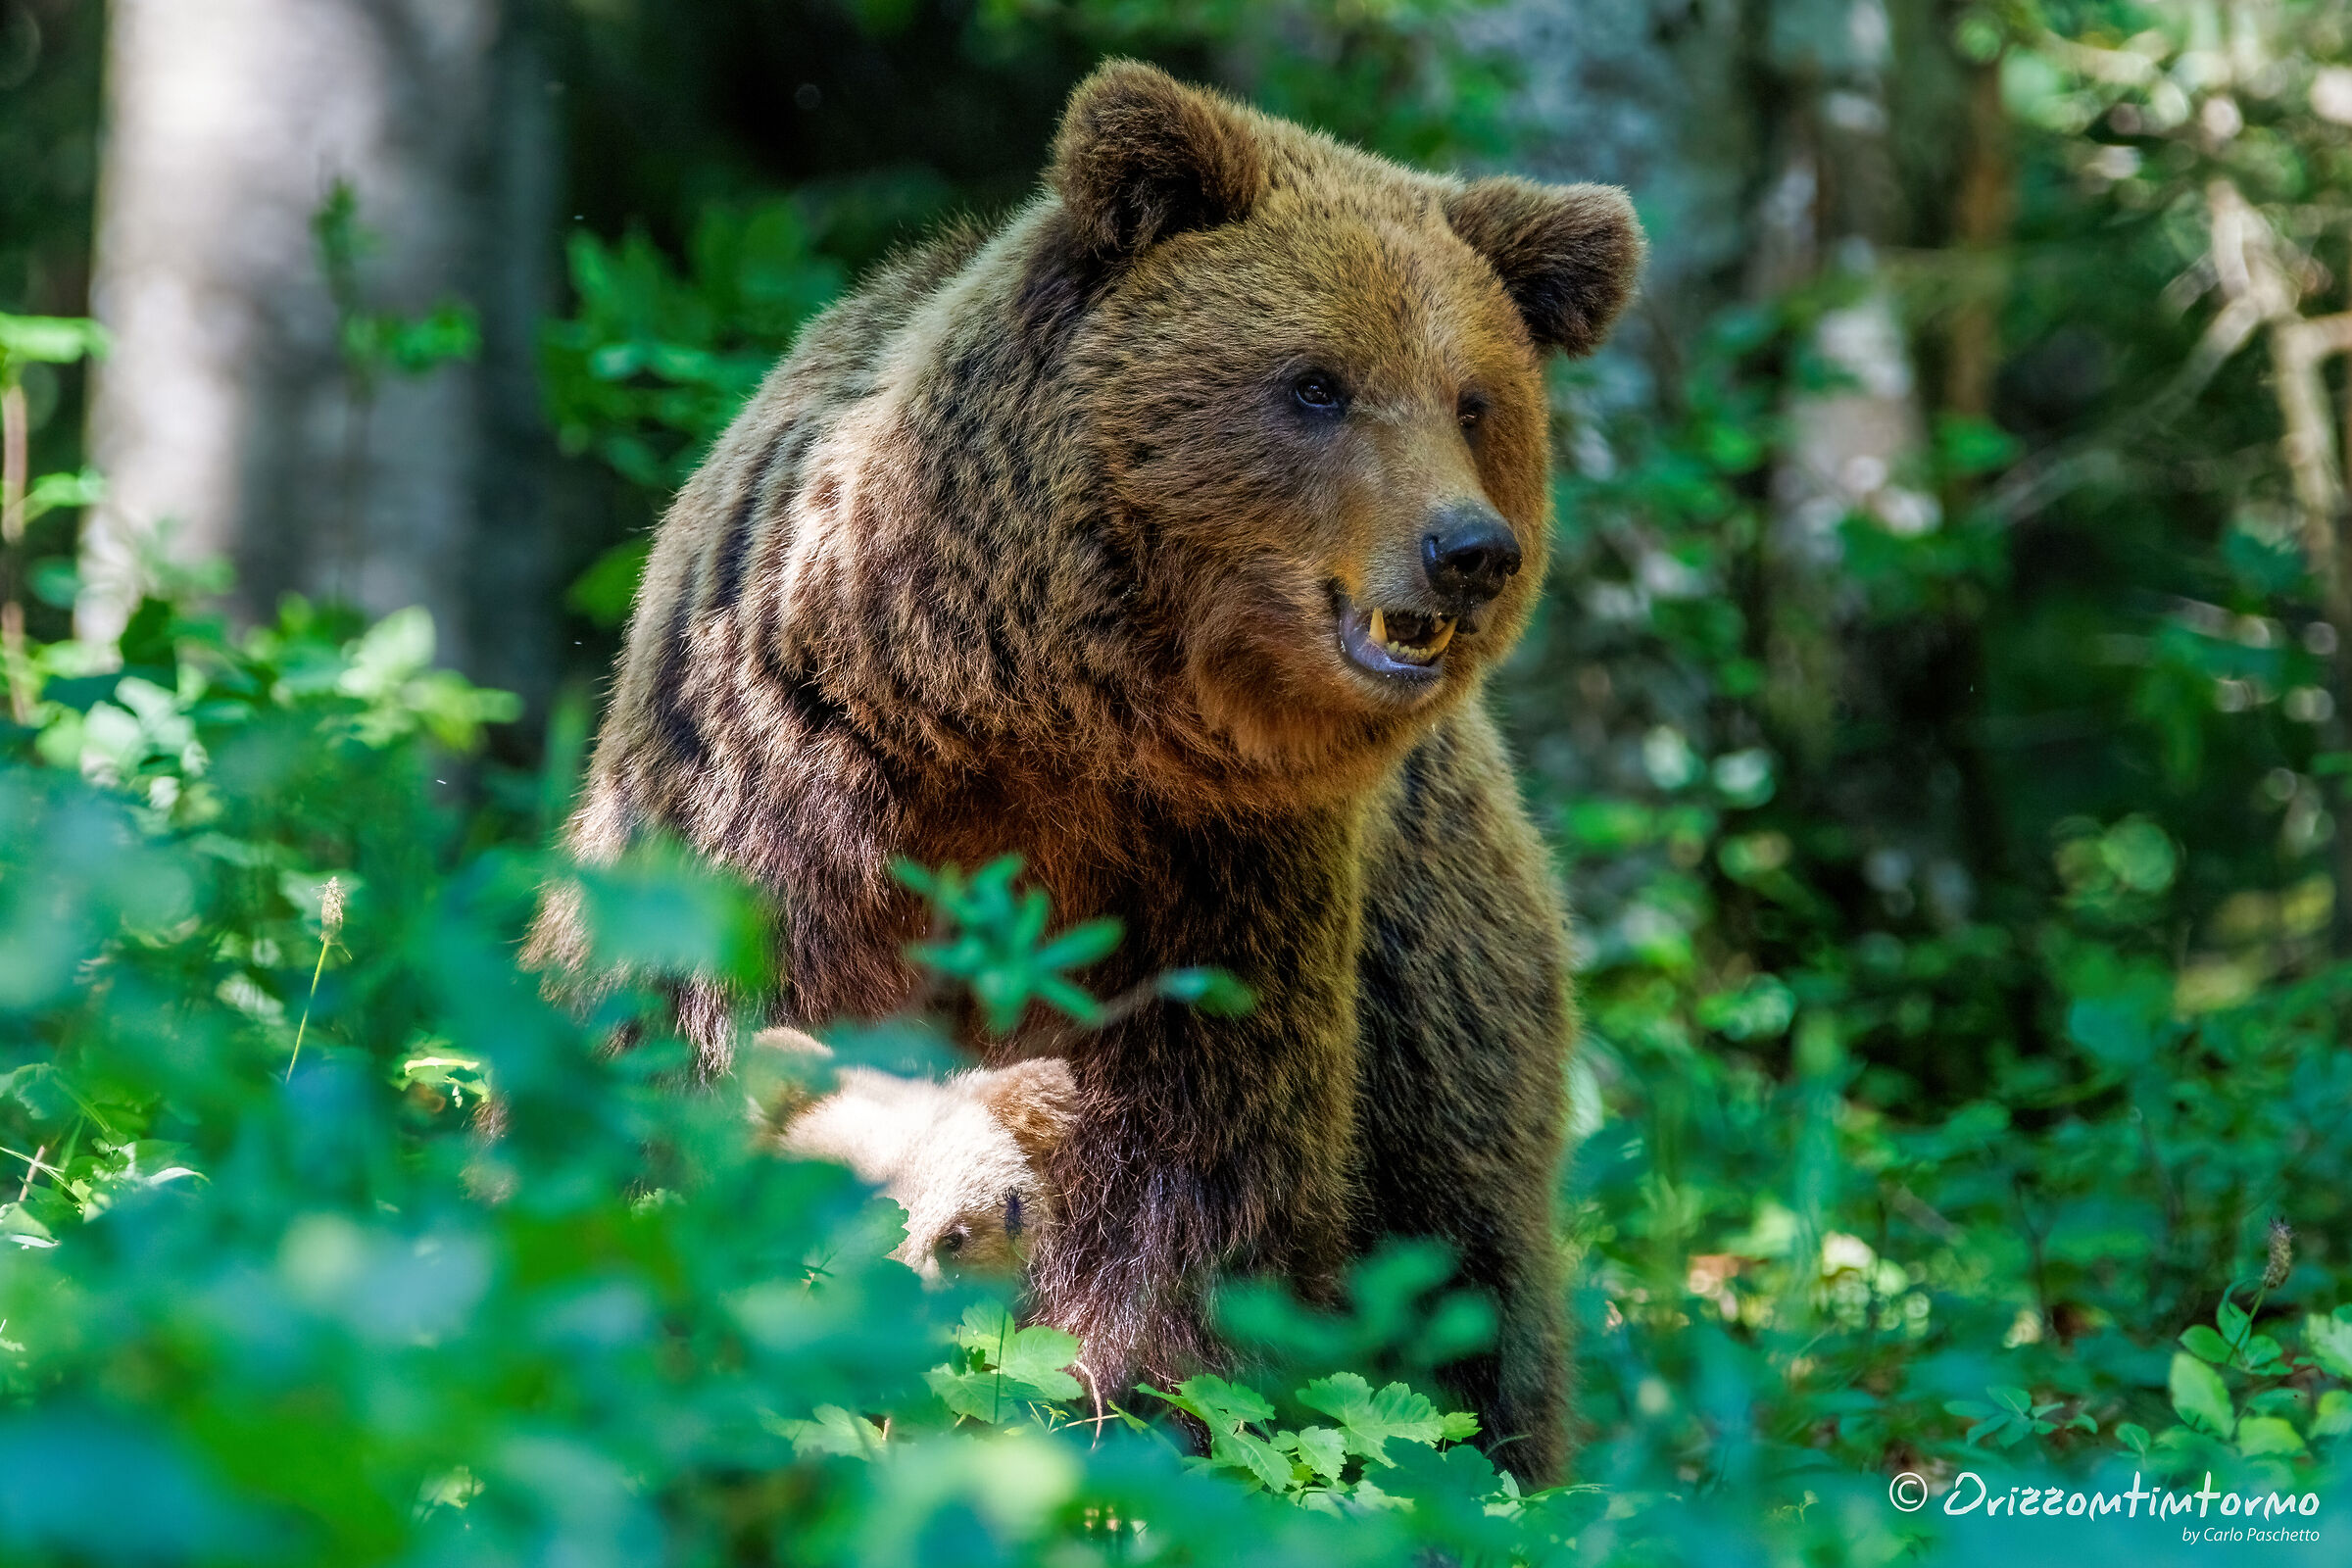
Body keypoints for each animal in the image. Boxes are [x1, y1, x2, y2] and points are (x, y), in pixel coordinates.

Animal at [536, 59, 1640, 1482]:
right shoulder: (786, 793)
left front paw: (1125, 1403)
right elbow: (720, 1048)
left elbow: (1191, 1162)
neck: (1031, 716)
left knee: (1471, 1283)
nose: (1469, 550)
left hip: (1446, 1008)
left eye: (1474, 399)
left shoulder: (1220, 873)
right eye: (1318, 383)